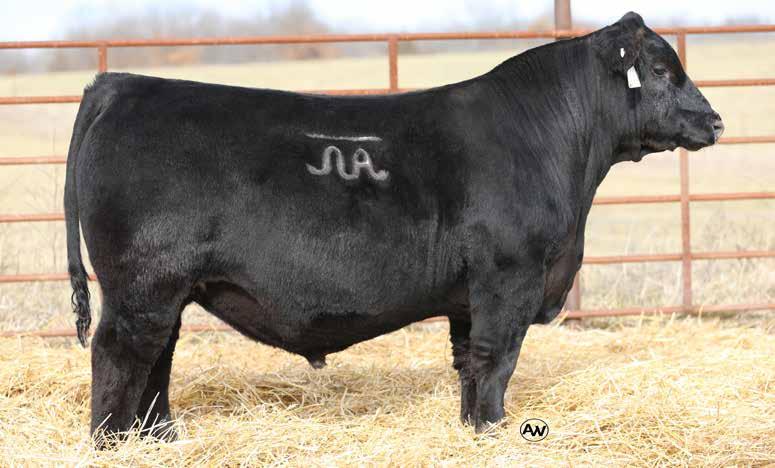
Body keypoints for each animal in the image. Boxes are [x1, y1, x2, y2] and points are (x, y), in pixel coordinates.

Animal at [64, 12, 723, 443]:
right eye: (660, 69)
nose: (715, 121)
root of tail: (119, 83)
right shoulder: (509, 277)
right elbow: (498, 359)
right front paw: (495, 430)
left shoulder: (469, 296)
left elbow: (469, 362)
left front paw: (472, 430)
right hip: (142, 283)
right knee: (119, 353)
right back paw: (112, 443)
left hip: (164, 290)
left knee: (157, 358)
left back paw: (159, 440)